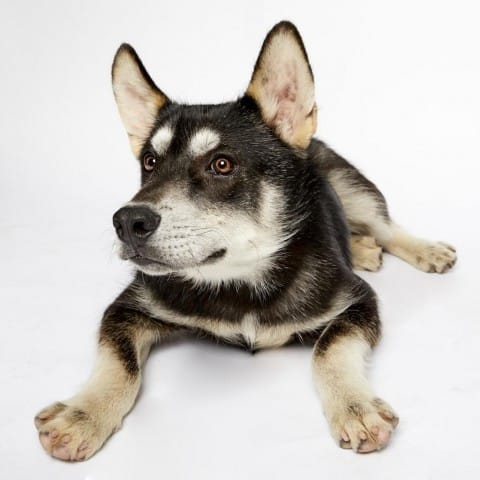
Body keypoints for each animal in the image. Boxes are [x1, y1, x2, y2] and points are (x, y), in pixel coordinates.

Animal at [34, 20, 458, 460]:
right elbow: (120, 362)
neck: (239, 280)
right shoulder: (126, 308)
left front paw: (354, 406)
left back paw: (424, 249)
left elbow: (329, 349)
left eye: (222, 164)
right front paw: (83, 414)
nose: (128, 221)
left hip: (352, 187)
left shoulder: (359, 302)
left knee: (386, 226)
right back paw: (361, 248)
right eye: (149, 163)